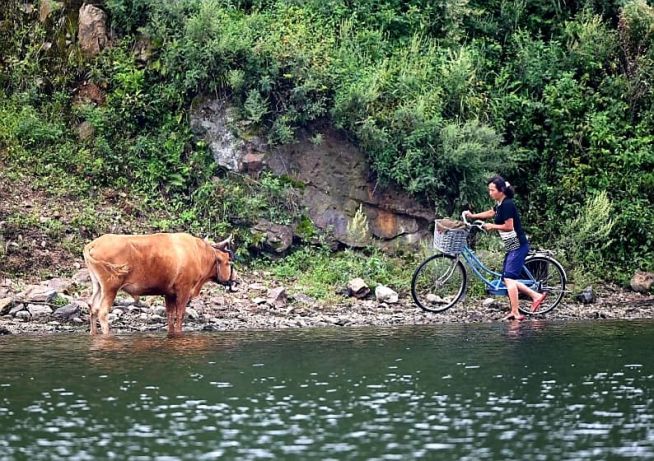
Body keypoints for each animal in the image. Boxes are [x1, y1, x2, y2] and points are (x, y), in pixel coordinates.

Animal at [83, 234, 234, 334]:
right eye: (228, 262)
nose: (235, 280)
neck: (198, 254)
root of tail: (93, 244)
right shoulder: (183, 290)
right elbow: (180, 315)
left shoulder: (169, 293)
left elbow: (170, 316)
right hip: (111, 288)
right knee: (102, 311)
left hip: (98, 286)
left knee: (93, 307)